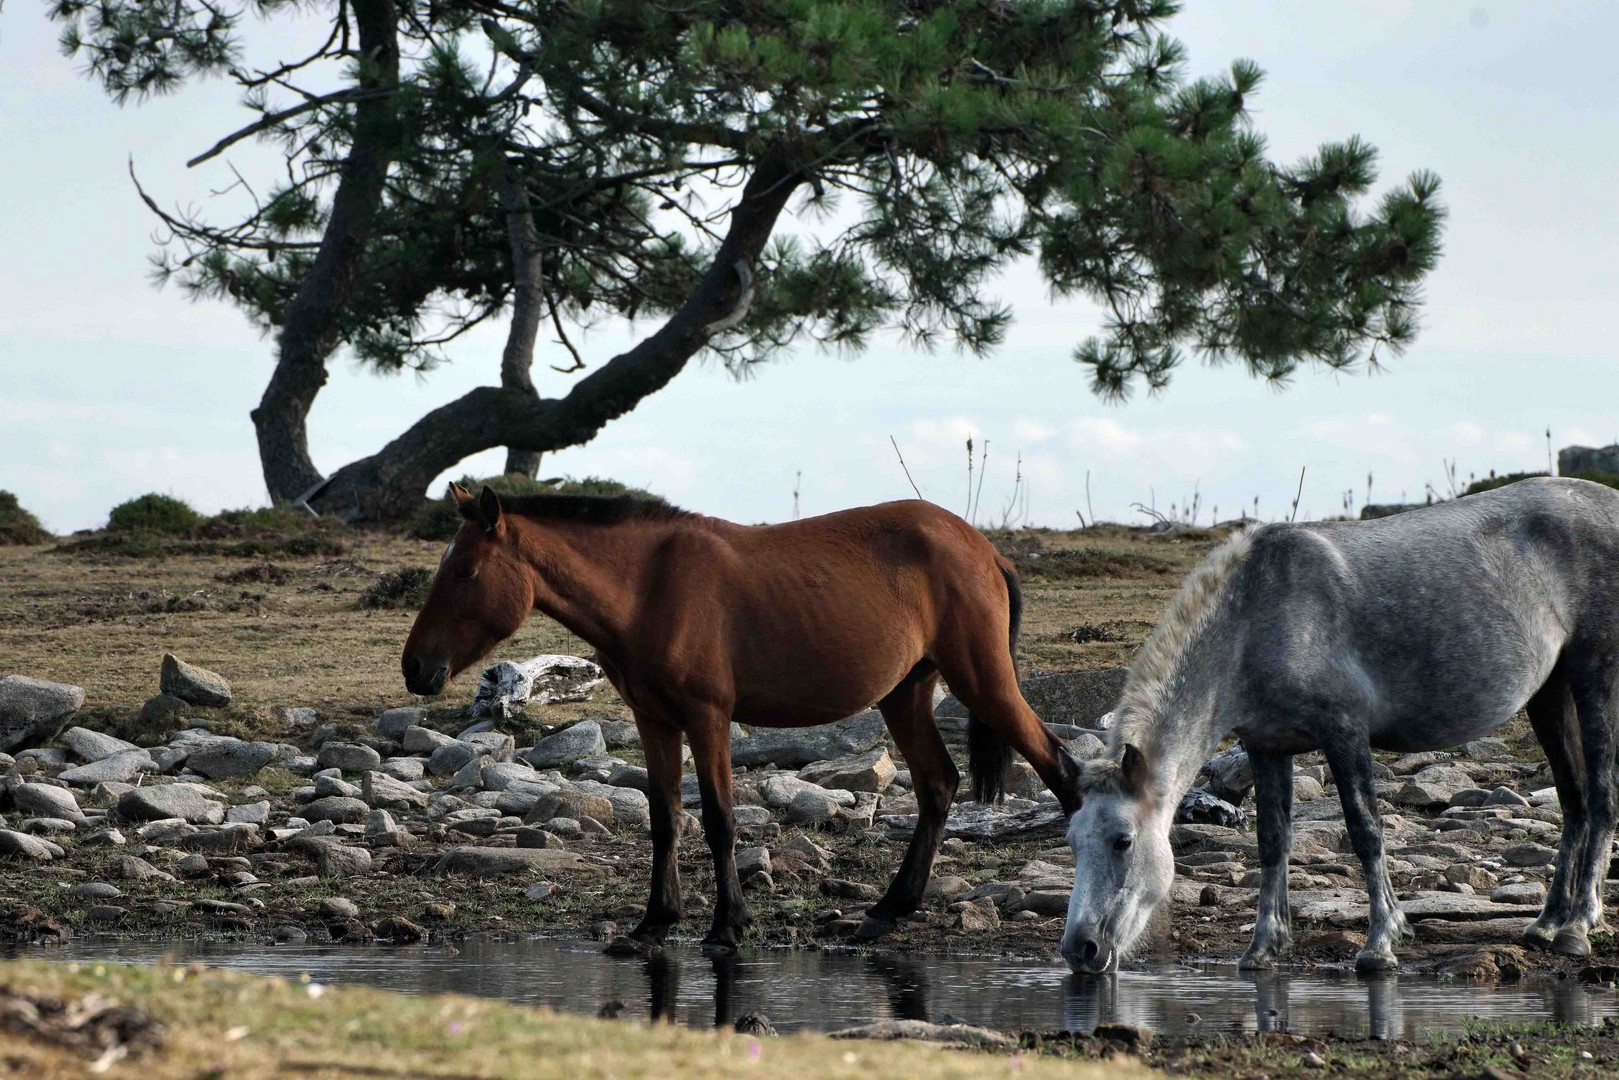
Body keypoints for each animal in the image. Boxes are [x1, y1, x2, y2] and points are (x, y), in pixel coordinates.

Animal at [399, 485, 1081, 952]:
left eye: (466, 572)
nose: (416, 668)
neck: (650, 587)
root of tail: (983, 549)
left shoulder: (708, 718)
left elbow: (721, 819)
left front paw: (728, 924)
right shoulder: (654, 720)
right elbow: (665, 819)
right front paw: (655, 921)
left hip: (983, 681)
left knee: (1062, 772)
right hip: (906, 694)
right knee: (939, 783)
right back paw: (891, 907)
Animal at [1055, 476, 1619, 977]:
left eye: (1123, 841)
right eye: (1073, 841)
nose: (1079, 949)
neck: (1254, 618)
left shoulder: (1345, 733)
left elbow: (1365, 831)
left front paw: (1381, 943)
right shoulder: (1267, 746)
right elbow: (1272, 839)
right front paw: (1263, 947)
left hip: (1595, 678)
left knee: (1601, 798)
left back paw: (1578, 927)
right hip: (1549, 693)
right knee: (1574, 801)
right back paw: (1547, 922)